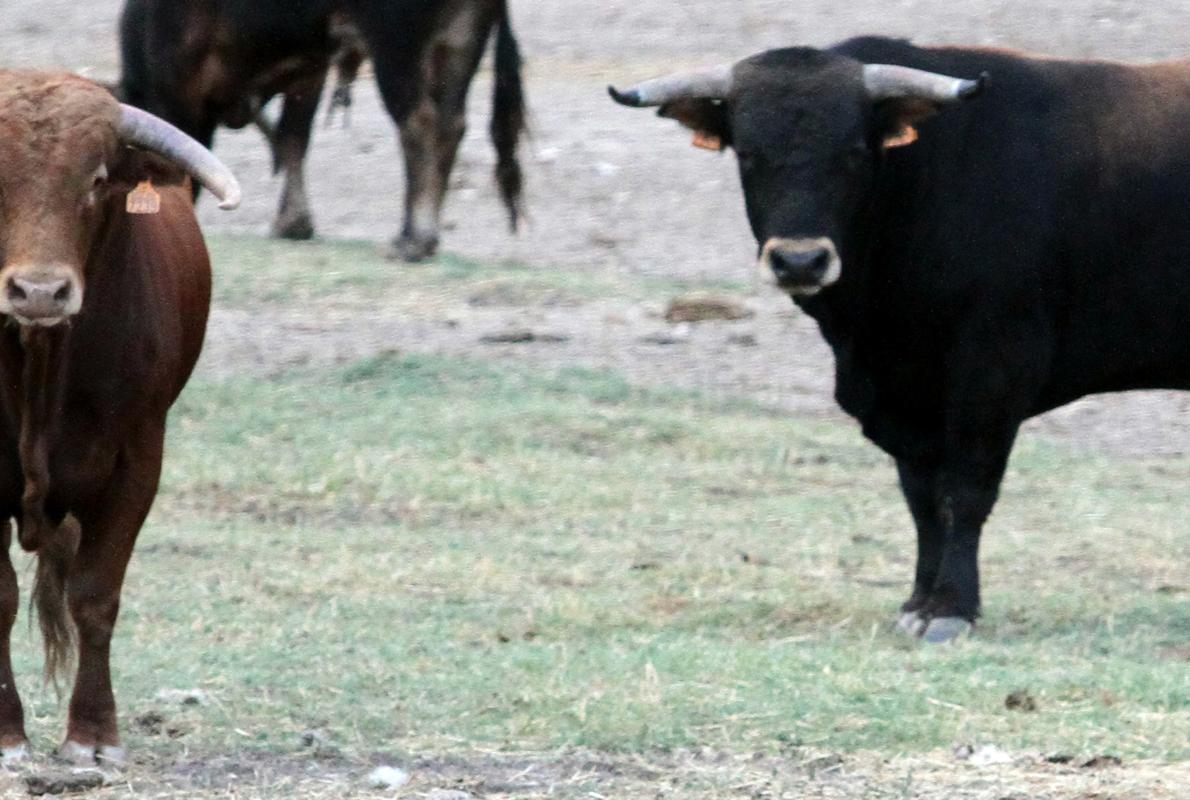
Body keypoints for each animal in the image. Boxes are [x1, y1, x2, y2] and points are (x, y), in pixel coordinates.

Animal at [0, 68, 239, 761]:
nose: (40, 291)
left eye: (97, 178)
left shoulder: (137, 463)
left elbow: (95, 595)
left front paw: (93, 734)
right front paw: (7, 734)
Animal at [614, 37, 1190, 642]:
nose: (800, 260)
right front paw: (918, 601)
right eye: (747, 153)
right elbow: (922, 499)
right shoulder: (906, 397)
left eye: (853, 151)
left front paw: (951, 607)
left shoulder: (993, 371)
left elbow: (966, 488)